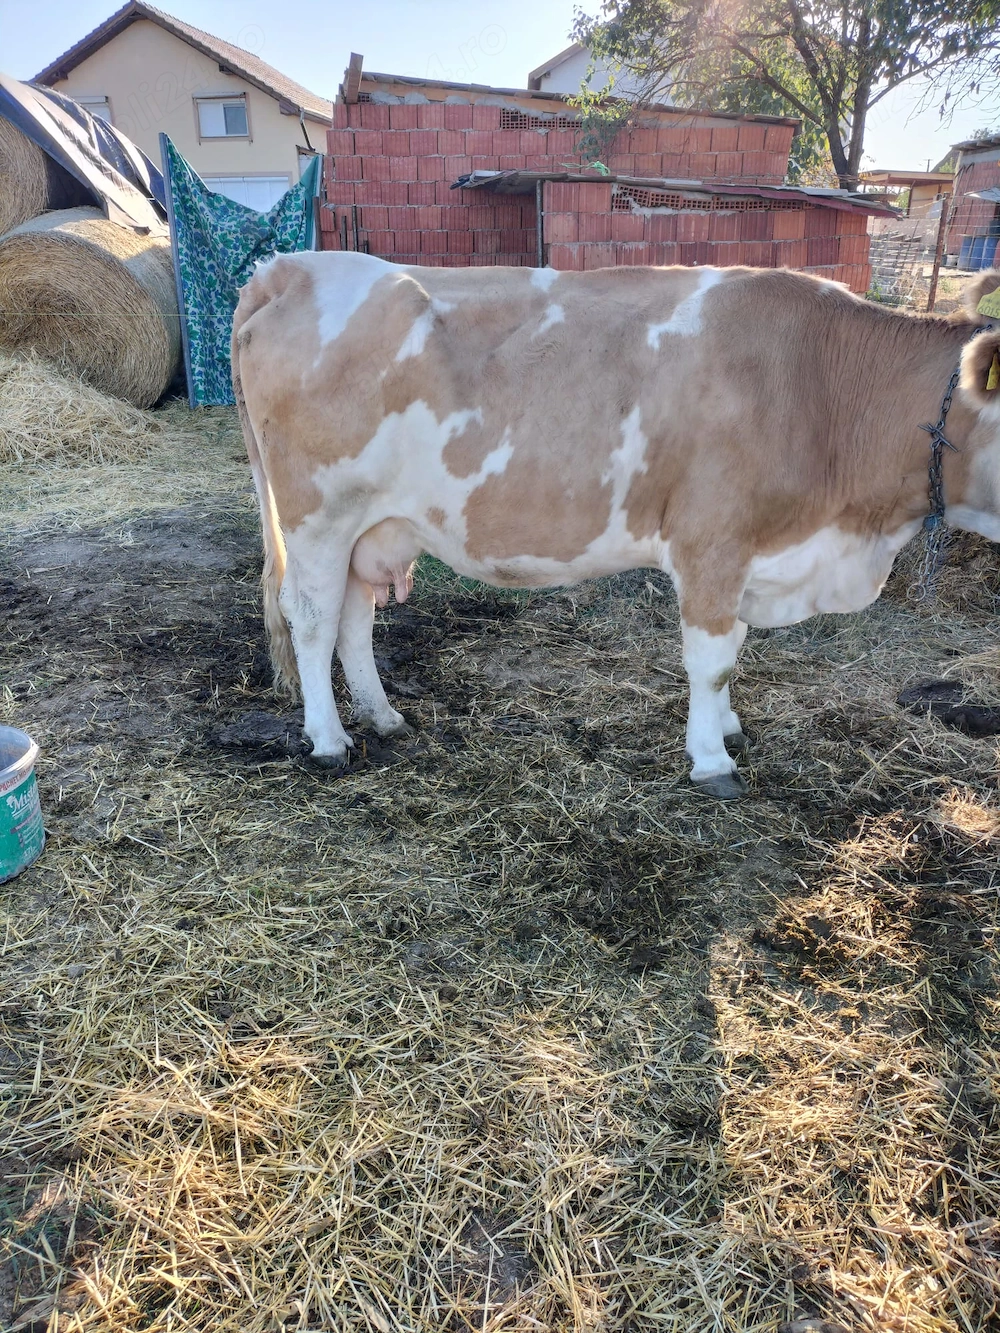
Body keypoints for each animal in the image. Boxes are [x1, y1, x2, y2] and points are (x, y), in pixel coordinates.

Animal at [231, 252, 1000, 798]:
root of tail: (288, 267)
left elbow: (733, 652)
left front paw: (727, 726)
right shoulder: (712, 539)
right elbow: (714, 659)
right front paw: (711, 758)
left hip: (371, 522)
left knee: (353, 617)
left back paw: (383, 715)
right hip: (319, 514)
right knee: (311, 618)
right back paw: (329, 740)